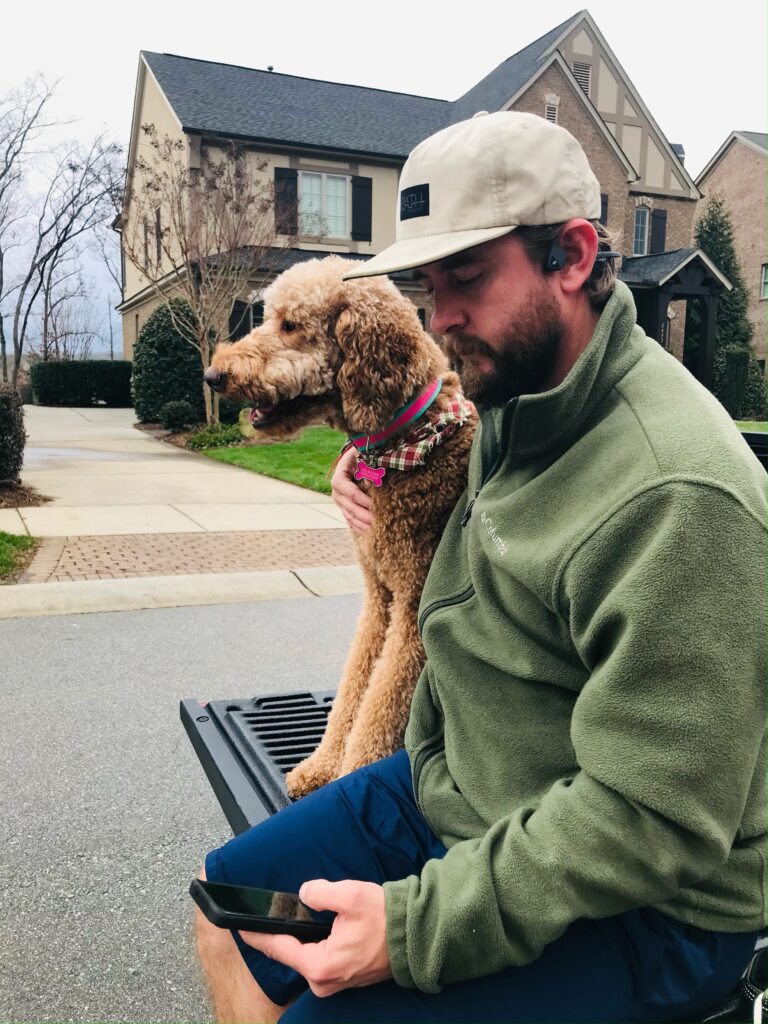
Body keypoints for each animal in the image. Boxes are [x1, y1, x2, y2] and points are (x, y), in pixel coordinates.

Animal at [204, 256, 475, 798]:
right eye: (264, 316)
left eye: (290, 325)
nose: (212, 374)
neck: (410, 439)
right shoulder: (380, 598)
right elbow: (355, 686)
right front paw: (322, 765)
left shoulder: (414, 610)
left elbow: (379, 708)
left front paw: (349, 774)